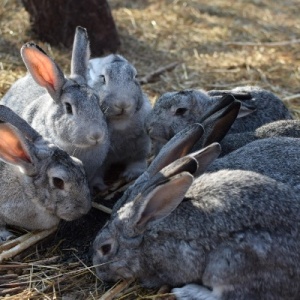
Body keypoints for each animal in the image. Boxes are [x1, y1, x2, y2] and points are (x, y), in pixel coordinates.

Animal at [86, 54, 152, 188]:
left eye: (135, 77)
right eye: (103, 78)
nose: (123, 104)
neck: (120, 122)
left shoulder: (140, 149)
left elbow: (137, 162)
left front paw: (131, 175)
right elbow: (97, 173)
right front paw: (98, 186)